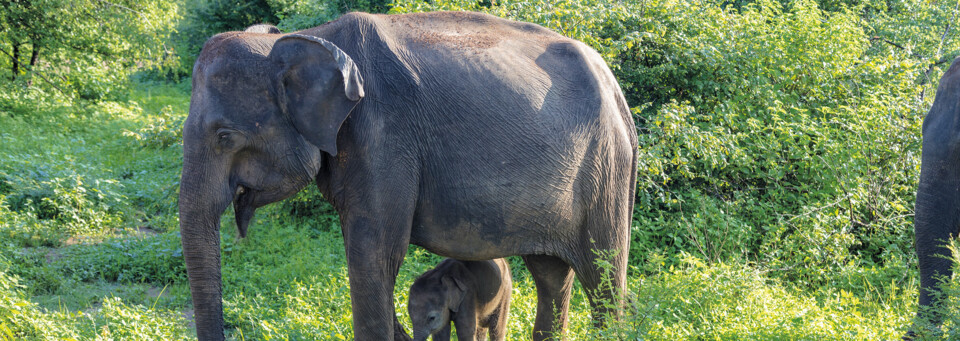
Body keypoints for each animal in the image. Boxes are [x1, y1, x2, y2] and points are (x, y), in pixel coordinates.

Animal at [180, 11, 636, 340]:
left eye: (224, 136)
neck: (306, 37)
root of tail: (617, 91)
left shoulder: (384, 136)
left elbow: (375, 255)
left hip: (606, 170)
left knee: (602, 275)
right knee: (551, 275)